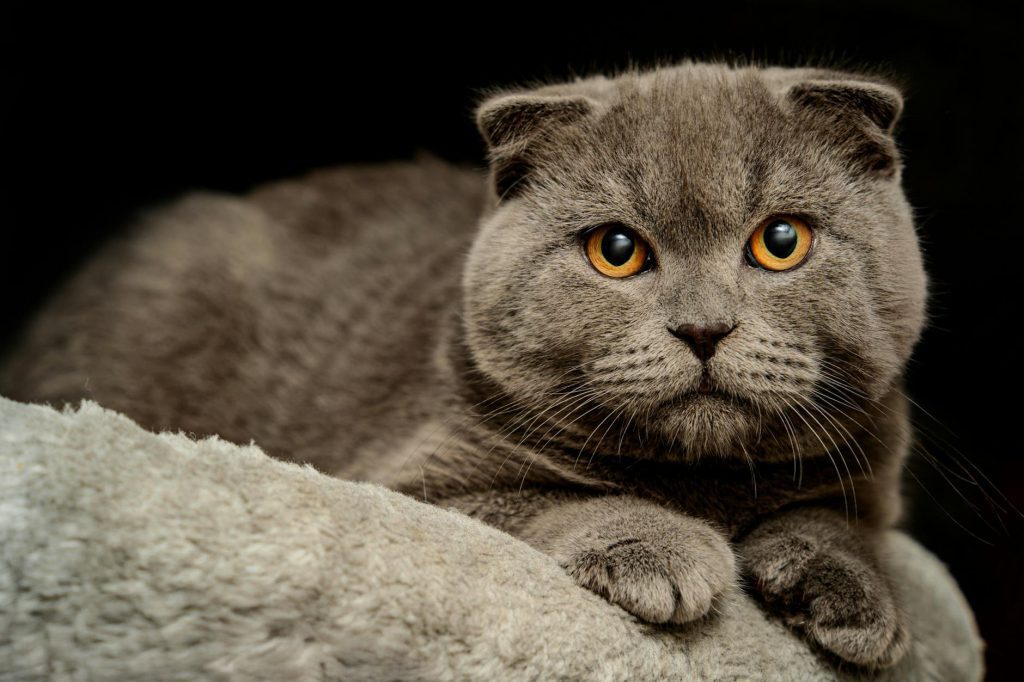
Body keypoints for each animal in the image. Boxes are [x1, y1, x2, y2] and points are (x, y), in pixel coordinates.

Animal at [2, 61, 929, 667]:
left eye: (782, 241)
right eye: (617, 251)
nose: (704, 327)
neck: (707, 483)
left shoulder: (871, 469)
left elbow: (842, 521)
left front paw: (855, 599)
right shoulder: (414, 478)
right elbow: (547, 499)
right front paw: (660, 548)